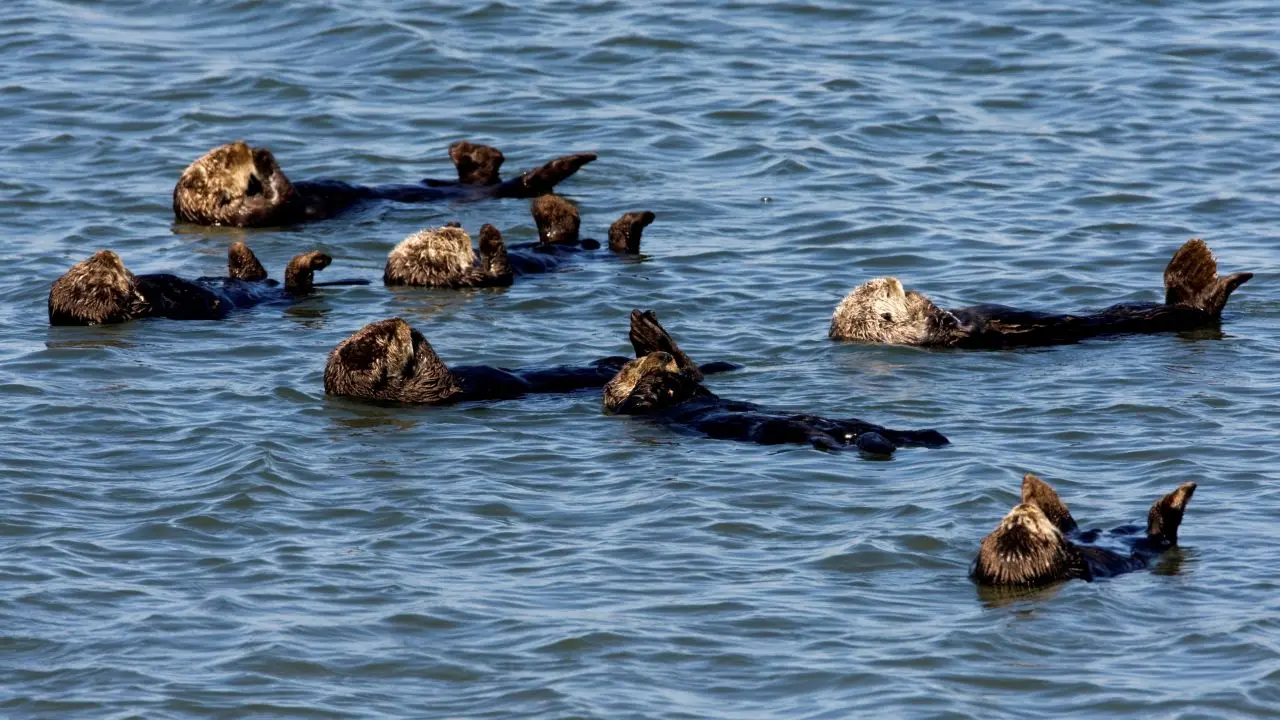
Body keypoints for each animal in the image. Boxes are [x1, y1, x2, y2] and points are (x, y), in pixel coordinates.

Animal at [48, 242, 364, 325]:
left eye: (87, 263)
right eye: (103, 272)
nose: (107, 253)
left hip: (256, 278)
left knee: (255, 273)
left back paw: (237, 248)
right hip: (292, 290)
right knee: (297, 280)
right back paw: (316, 259)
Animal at [603, 311, 949, 455]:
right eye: (630, 367)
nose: (661, 357)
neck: (677, 398)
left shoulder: (697, 391)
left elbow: (698, 383)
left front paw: (655, 337)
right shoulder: (638, 410)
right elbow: (638, 399)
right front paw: (656, 372)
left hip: (859, 423)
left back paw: (932, 435)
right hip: (802, 435)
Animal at [971, 473, 1197, 588]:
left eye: (1008, 523)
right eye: (1030, 523)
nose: (1023, 509)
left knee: (1064, 520)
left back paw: (1032, 484)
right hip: (1157, 539)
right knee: (1162, 523)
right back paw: (1185, 490)